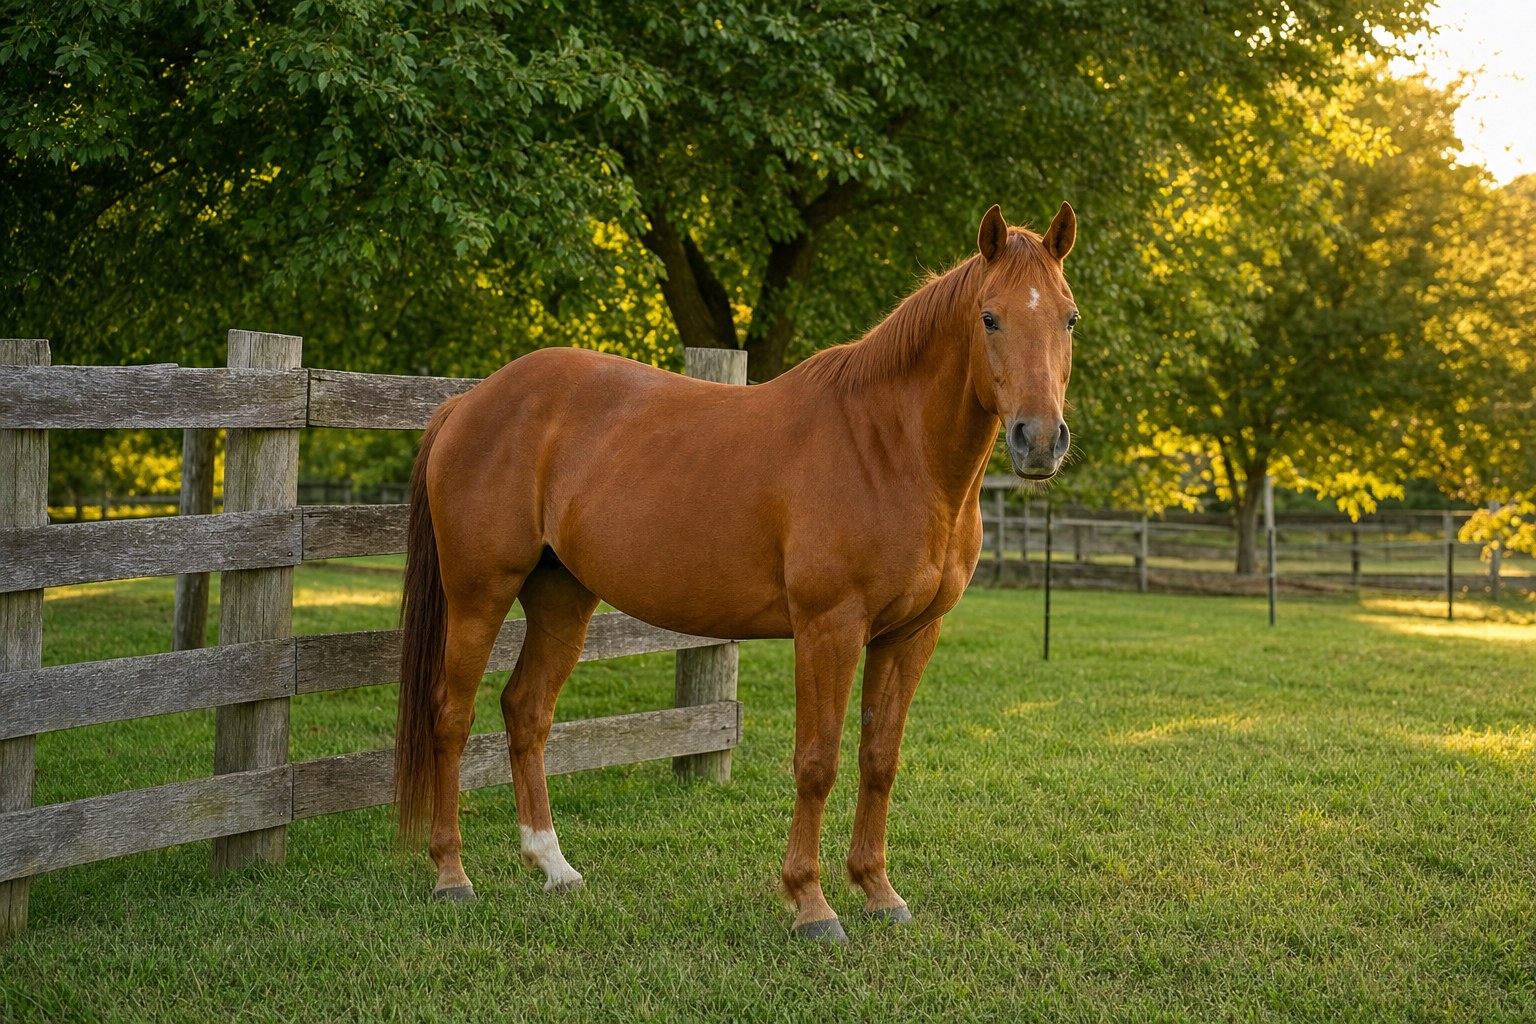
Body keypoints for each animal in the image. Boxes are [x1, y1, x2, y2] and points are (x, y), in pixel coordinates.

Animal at [394, 202, 1079, 943]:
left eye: (1069, 318)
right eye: (990, 317)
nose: (1039, 440)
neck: (889, 446)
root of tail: (469, 402)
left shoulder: (910, 635)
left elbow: (879, 759)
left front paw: (878, 891)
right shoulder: (829, 629)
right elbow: (817, 762)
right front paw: (811, 905)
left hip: (561, 597)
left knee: (526, 712)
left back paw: (554, 867)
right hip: (479, 594)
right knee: (451, 714)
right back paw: (451, 876)